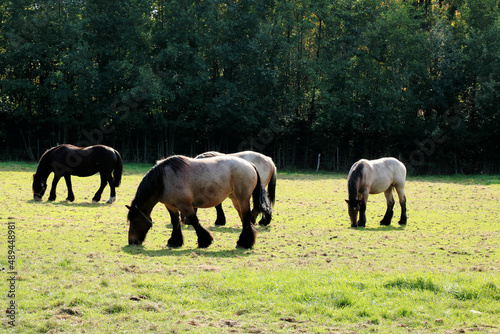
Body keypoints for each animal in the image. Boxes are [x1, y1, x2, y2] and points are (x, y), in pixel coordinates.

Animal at [127, 155, 272, 249]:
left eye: (133, 221)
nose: (132, 241)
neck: (164, 179)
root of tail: (250, 165)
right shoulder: (171, 206)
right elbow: (175, 222)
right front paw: (175, 241)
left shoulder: (185, 205)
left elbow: (194, 221)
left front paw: (205, 241)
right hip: (236, 200)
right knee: (244, 220)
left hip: (242, 199)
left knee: (246, 219)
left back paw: (244, 243)